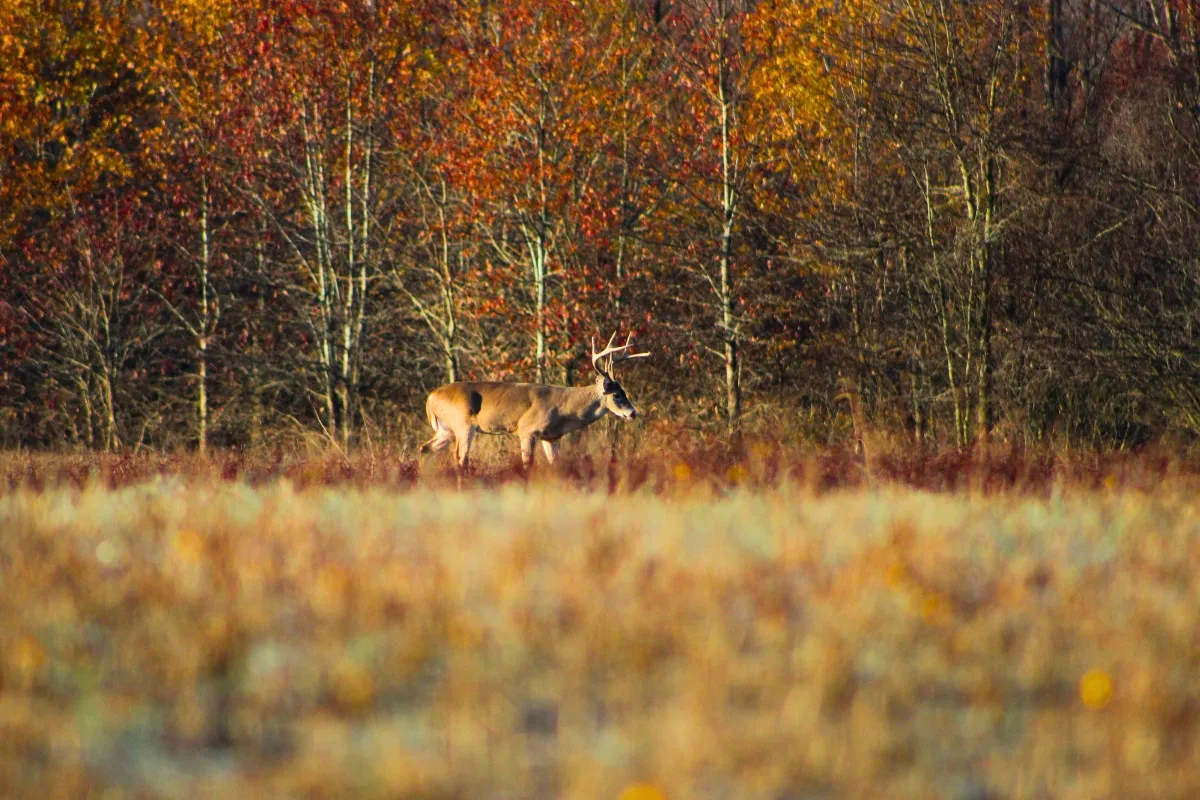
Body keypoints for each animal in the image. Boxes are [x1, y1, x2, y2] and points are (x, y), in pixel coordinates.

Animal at [418, 332, 650, 470]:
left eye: (624, 391)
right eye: (617, 394)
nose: (633, 413)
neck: (565, 411)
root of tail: (431, 397)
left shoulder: (551, 437)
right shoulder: (527, 429)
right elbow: (527, 465)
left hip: (446, 429)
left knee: (424, 448)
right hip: (463, 424)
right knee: (460, 457)